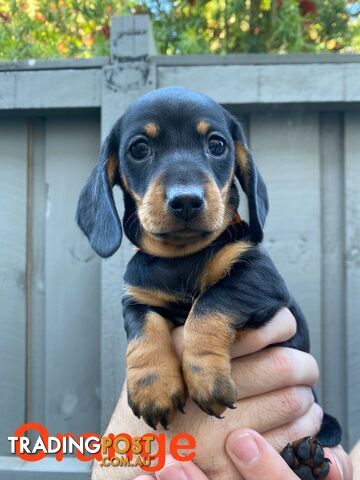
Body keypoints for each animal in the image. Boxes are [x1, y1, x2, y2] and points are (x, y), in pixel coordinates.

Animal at [76, 86, 340, 480]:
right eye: (139, 149)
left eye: (216, 145)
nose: (186, 200)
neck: (182, 257)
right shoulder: (137, 297)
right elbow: (142, 328)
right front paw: (153, 386)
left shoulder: (258, 276)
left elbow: (210, 303)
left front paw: (205, 374)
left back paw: (303, 461)